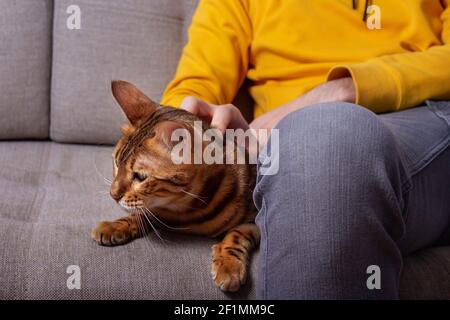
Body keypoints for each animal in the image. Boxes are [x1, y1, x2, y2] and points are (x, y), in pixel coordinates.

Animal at [91, 80, 258, 292]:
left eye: (140, 176)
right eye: (115, 162)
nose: (113, 195)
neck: (183, 210)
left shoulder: (254, 219)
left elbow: (236, 235)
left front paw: (228, 265)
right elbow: (141, 214)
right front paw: (116, 225)